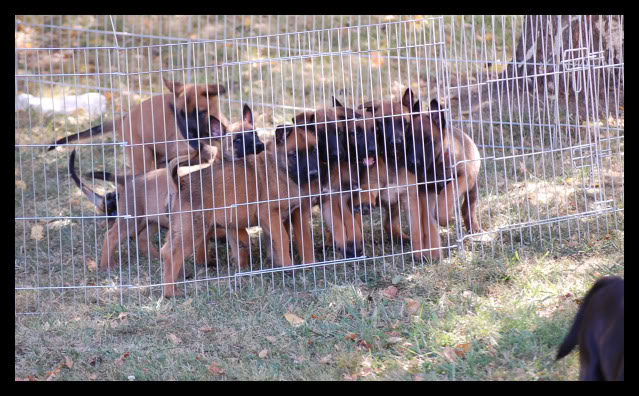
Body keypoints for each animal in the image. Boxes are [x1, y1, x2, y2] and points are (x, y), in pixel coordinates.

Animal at [50, 78, 230, 174]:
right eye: (180, 114)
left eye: (200, 113)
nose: (190, 136)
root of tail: (123, 119)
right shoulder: (179, 147)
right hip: (142, 157)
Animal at [160, 124, 320, 296]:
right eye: (293, 155)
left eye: (314, 150)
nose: (313, 174)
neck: (279, 168)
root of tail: (180, 182)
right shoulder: (270, 214)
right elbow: (283, 239)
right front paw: (288, 267)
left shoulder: (284, 217)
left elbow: (289, 241)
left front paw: (282, 265)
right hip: (192, 228)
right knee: (173, 254)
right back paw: (170, 292)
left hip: (180, 227)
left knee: (166, 250)